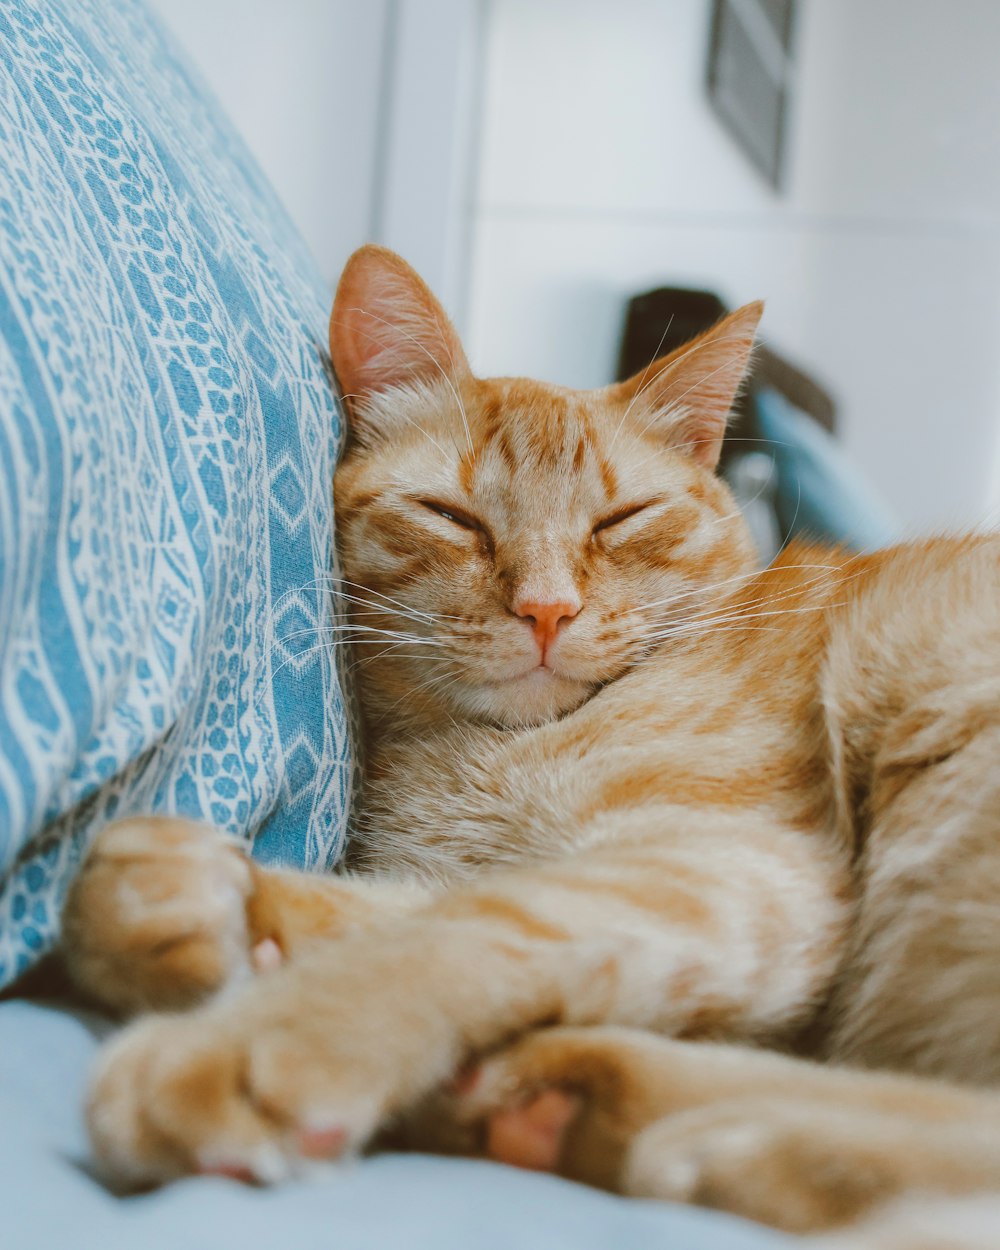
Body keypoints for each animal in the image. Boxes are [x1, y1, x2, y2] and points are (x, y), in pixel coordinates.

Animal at [58, 246, 1000, 1250]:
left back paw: (730, 1142)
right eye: (454, 517)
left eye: (620, 520)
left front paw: (254, 1045)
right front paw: (190, 908)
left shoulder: (736, 865)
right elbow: (397, 905)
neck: (488, 756)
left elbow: (472, 928)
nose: (547, 610)